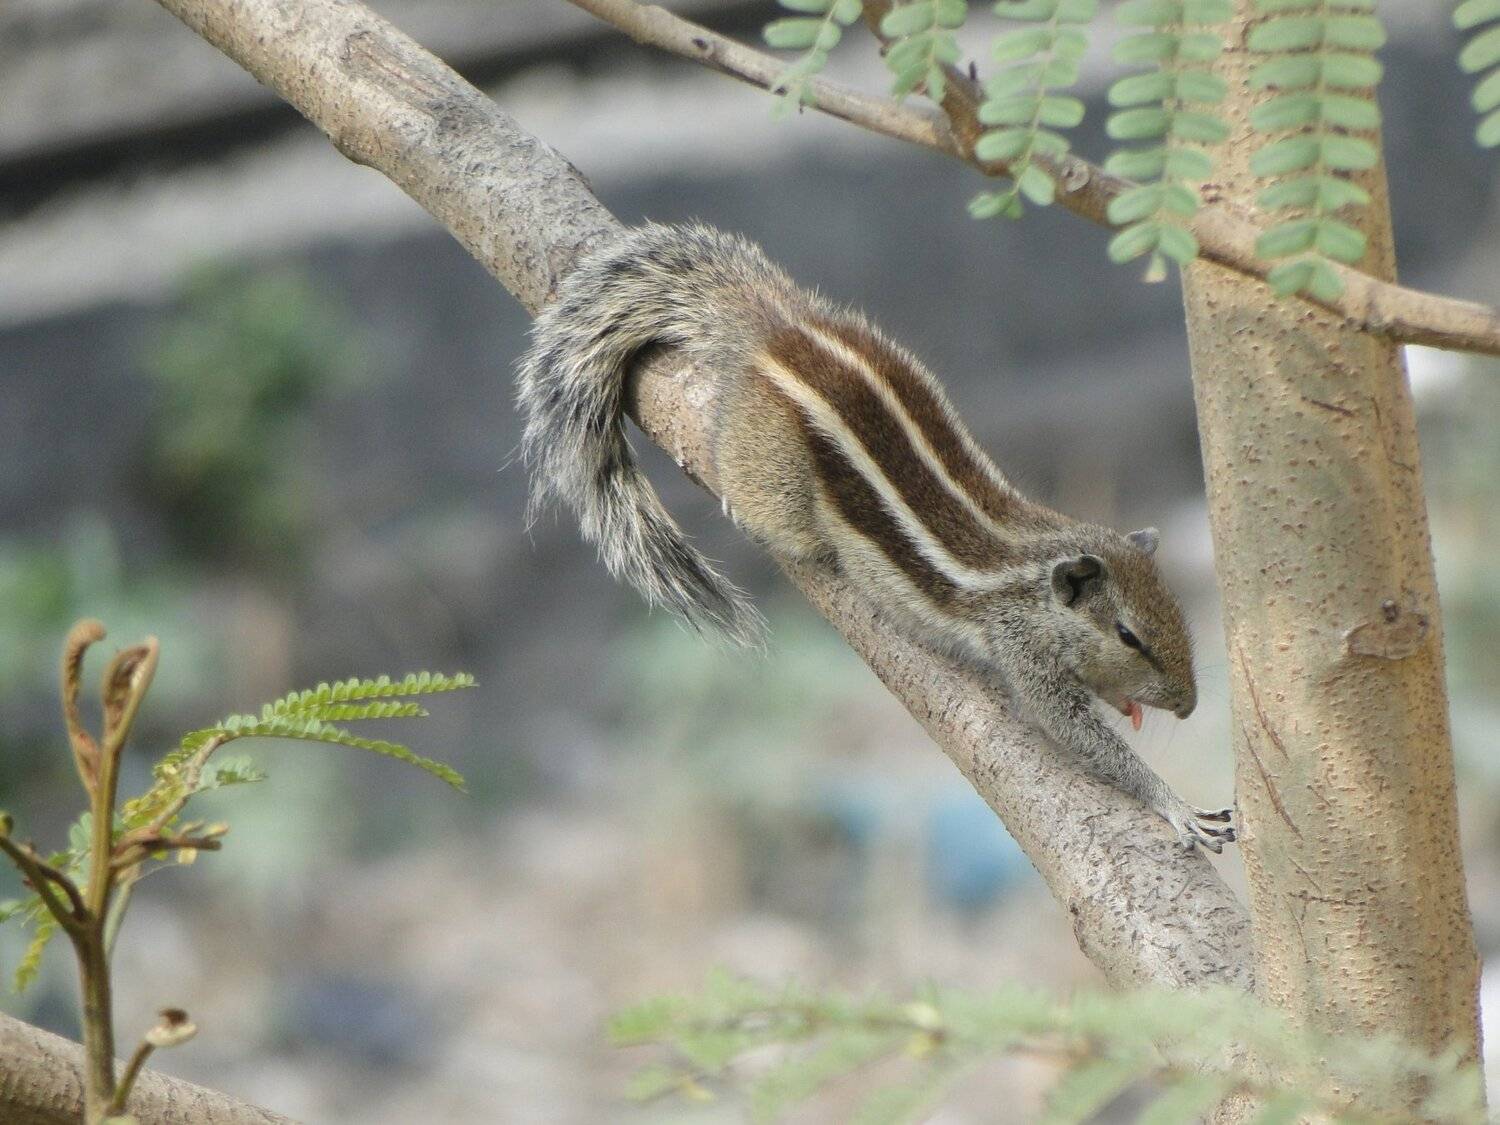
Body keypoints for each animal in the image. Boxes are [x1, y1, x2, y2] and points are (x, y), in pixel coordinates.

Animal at [518, 223, 1235, 852]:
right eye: (1129, 635)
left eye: (1176, 614)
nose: (1189, 706)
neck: (1036, 564)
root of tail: (777, 328)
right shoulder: (1024, 653)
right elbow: (1079, 734)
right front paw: (1176, 804)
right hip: (777, 479)